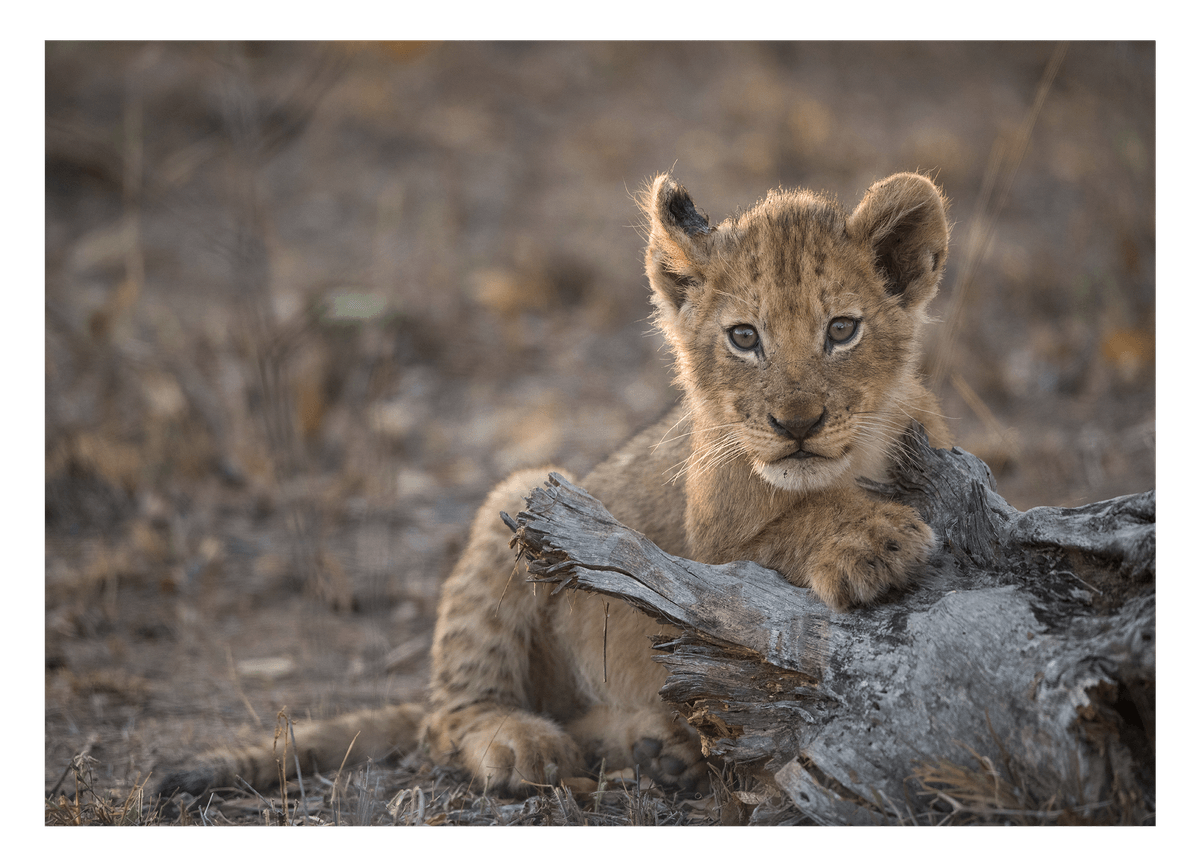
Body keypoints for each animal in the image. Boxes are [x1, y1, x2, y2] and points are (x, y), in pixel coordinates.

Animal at [157, 171, 951, 800]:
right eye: (744, 338)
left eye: (842, 330)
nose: (797, 423)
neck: (852, 459)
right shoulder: (704, 556)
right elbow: (788, 524)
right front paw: (874, 540)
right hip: (516, 500)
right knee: (445, 718)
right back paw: (524, 744)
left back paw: (655, 746)